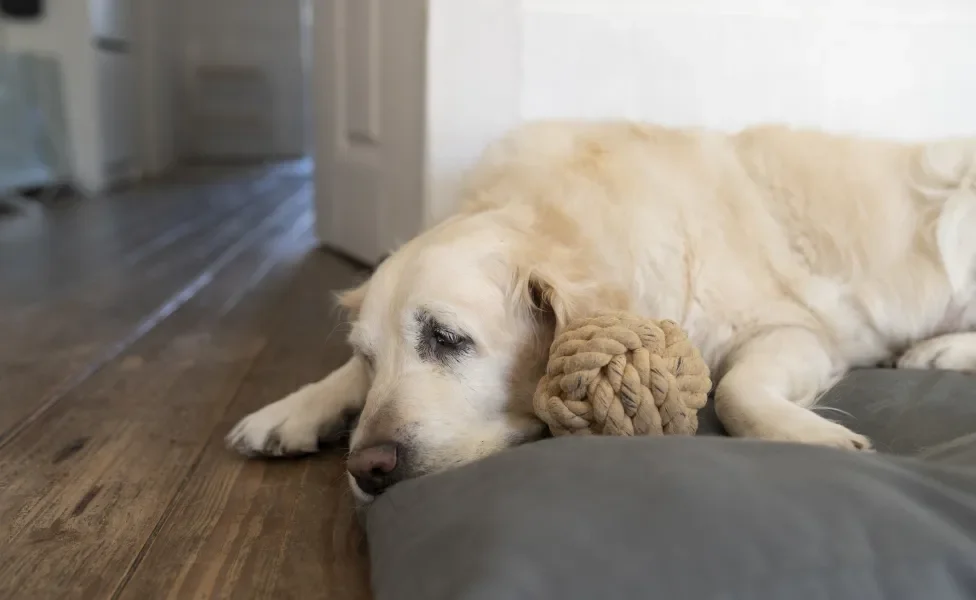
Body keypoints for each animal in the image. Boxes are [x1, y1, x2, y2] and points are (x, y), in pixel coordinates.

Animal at [225, 120, 976, 502]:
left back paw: (935, 350)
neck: (565, 216)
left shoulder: (796, 330)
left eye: (447, 338)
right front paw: (291, 409)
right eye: (369, 356)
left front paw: (811, 437)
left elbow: (737, 390)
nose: (367, 469)